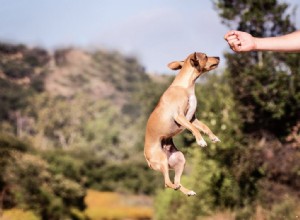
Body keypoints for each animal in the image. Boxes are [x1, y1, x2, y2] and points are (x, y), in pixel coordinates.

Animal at [143, 52, 220, 196]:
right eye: (206, 56)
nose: (218, 57)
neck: (185, 87)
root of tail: (147, 157)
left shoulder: (192, 118)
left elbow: (205, 127)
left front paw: (213, 137)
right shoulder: (180, 117)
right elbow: (194, 129)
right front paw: (201, 141)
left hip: (179, 160)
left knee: (176, 181)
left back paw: (188, 191)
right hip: (162, 160)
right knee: (168, 183)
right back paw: (176, 187)